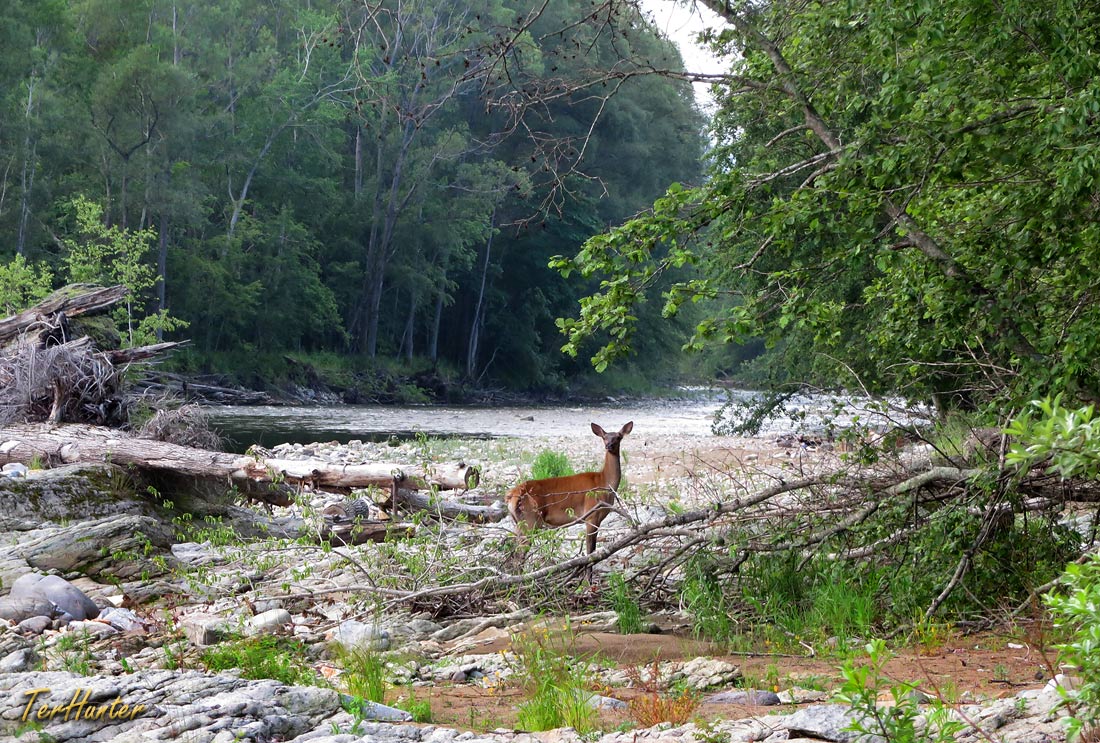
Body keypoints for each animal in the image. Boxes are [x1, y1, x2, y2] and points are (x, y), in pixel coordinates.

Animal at [508, 420, 638, 567]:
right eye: (604, 437)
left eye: (618, 437)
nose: (609, 445)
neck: (604, 482)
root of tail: (513, 496)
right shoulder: (591, 515)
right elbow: (590, 552)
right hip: (530, 520)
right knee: (519, 556)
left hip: (519, 523)